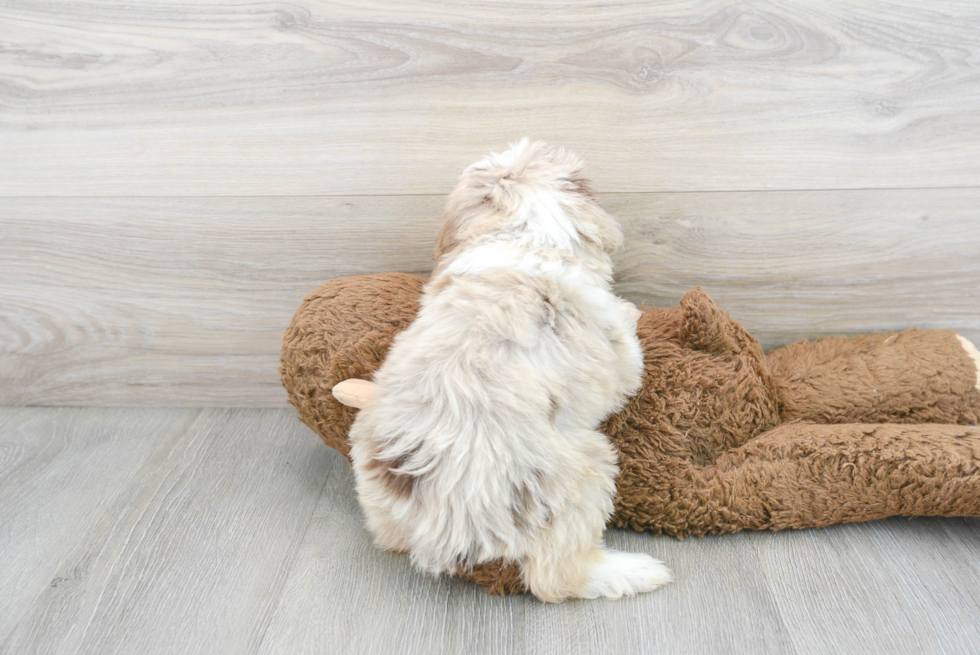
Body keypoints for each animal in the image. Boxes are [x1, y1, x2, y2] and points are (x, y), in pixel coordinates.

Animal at [346, 141, 672, 604]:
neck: (526, 235)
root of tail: (447, 520)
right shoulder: (621, 360)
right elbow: (629, 348)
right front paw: (631, 310)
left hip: (375, 489)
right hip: (586, 467)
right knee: (554, 578)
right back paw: (634, 571)